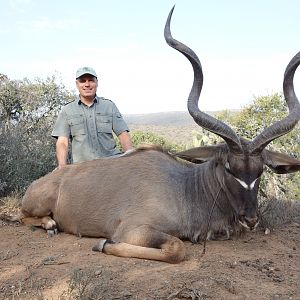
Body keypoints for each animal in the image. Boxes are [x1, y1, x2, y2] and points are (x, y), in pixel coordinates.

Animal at [21, 7, 300, 262]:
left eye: (261, 170)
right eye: (230, 168)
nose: (250, 219)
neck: (185, 189)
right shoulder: (132, 229)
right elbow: (176, 248)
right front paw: (102, 244)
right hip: (36, 206)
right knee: (22, 216)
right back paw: (50, 224)